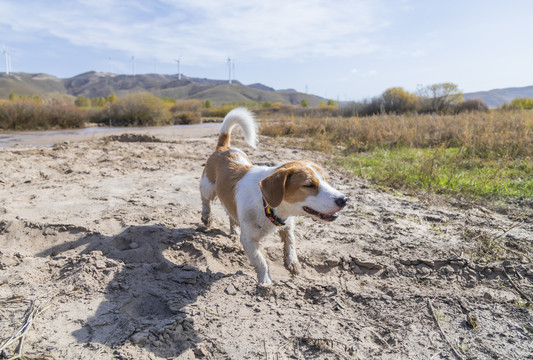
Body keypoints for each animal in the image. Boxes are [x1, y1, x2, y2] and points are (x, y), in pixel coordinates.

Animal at [198, 108, 344, 286]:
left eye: (327, 180)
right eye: (309, 185)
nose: (344, 200)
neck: (266, 203)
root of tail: (224, 147)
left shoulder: (288, 225)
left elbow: (290, 243)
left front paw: (292, 262)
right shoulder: (248, 240)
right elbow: (261, 261)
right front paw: (266, 280)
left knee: (230, 213)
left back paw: (233, 228)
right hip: (208, 187)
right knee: (205, 200)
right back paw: (206, 217)